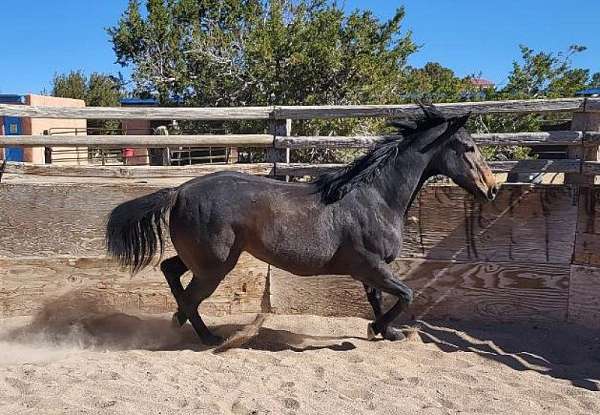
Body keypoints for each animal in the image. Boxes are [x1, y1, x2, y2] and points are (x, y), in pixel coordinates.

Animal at [106, 106, 496, 344]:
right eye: (468, 147)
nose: (491, 188)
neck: (376, 199)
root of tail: (180, 191)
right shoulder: (370, 265)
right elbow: (405, 294)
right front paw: (380, 329)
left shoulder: (372, 269)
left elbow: (378, 298)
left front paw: (385, 332)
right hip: (214, 266)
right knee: (190, 296)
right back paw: (206, 337)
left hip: (200, 260)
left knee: (171, 271)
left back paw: (186, 324)